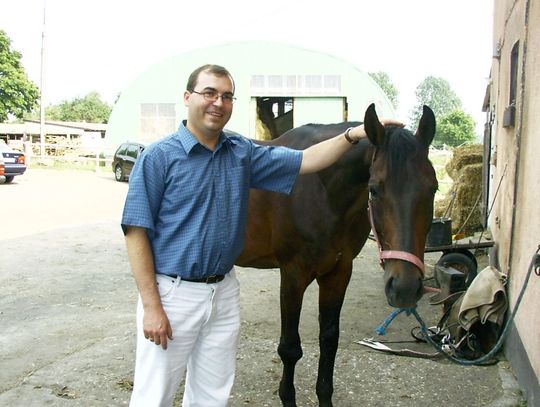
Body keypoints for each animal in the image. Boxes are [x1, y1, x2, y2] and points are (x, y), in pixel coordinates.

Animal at [234, 104, 436, 407]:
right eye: (374, 189)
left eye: (433, 188)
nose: (405, 288)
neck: (321, 189)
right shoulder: (293, 275)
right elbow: (290, 348)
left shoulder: (338, 272)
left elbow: (329, 340)